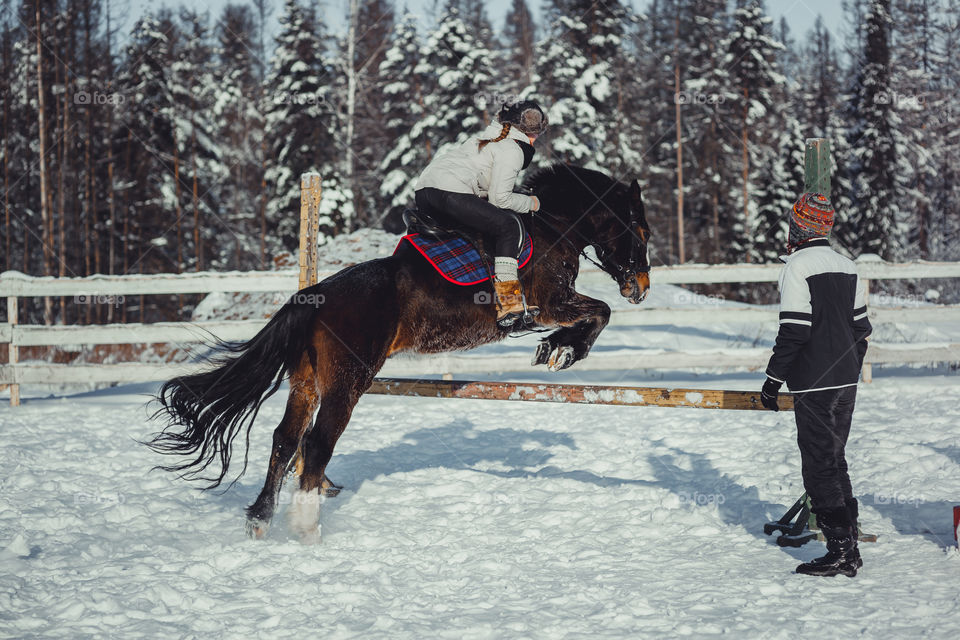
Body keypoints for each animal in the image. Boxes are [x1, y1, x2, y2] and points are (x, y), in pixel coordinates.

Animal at [148, 164, 652, 540]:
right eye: (640, 230)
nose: (641, 289)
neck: (552, 228)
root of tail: (312, 296)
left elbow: (598, 313)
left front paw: (557, 348)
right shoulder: (551, 302)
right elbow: (600, 312)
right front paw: (561, 350)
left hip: (306, 380)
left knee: (284, 440)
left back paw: (259, 521)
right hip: (348, 380)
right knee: (316, 443)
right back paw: (307, 529)